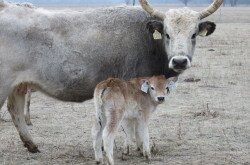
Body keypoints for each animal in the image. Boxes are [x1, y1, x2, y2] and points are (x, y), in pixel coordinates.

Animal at [0, 0, 223, 153]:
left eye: (193, 34)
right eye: (167, 34)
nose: (179, 61)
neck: (148, 40)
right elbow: (132, 124)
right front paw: (136, 148)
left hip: (18, 86)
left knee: (15, 110)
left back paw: (31, 145)